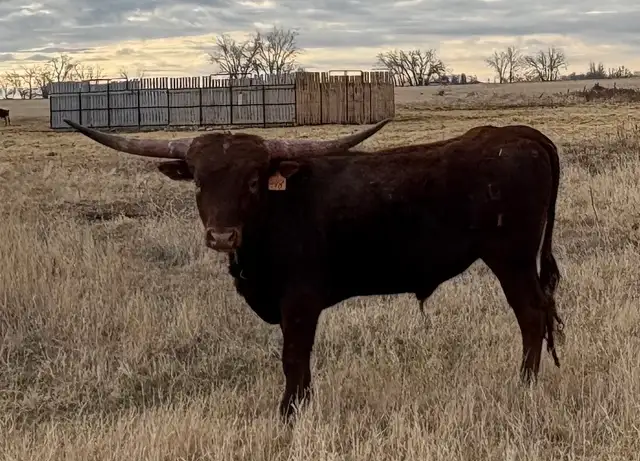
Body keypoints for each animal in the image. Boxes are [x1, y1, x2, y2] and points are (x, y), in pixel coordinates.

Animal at [63, 118, 565, 421]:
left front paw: (289, 414)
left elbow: (293, 358)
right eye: (201, 181)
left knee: (531, 315)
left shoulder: (300, 302)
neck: (275, 211)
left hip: (512, 259)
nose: (222, 236)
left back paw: (524, 384)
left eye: (252, 180)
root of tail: (521, 135)